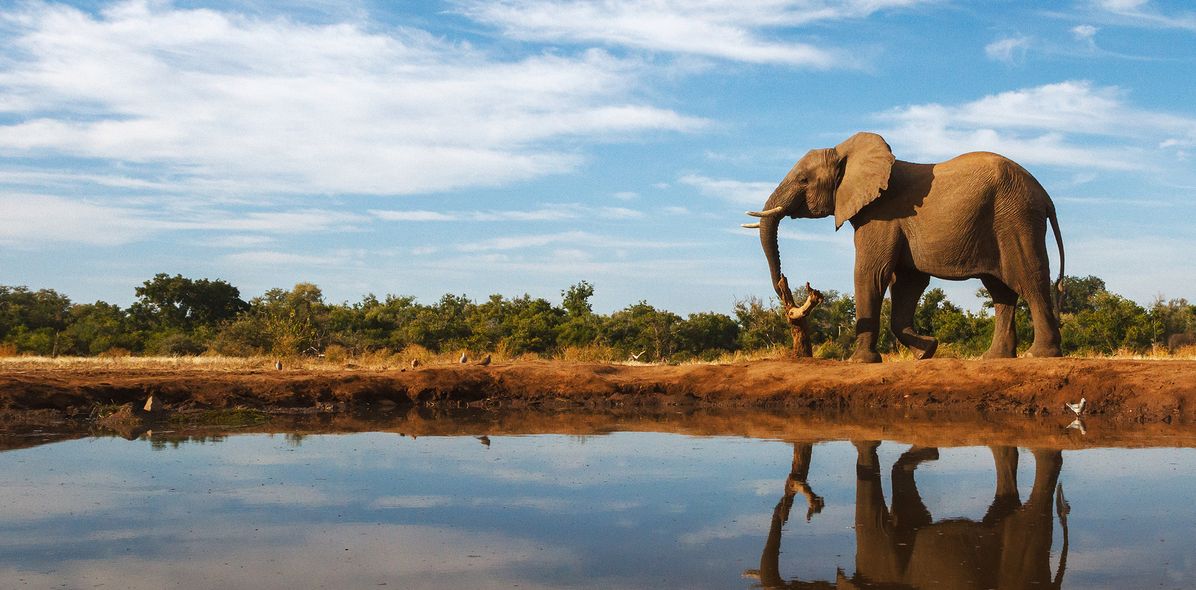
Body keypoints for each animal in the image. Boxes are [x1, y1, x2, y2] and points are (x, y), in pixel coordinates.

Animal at [743, 132, 1065, 362]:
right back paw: (994, 358)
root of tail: (1045, 196)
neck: (845, 151)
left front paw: (861, 361)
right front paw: (926, 351)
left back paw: (1038, 355)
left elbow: (871, 274)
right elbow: (908, 282)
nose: (787, 287)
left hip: (1015, 219)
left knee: (1028, 279)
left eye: (803, 180)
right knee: (1001, 290)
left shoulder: (881, 215)